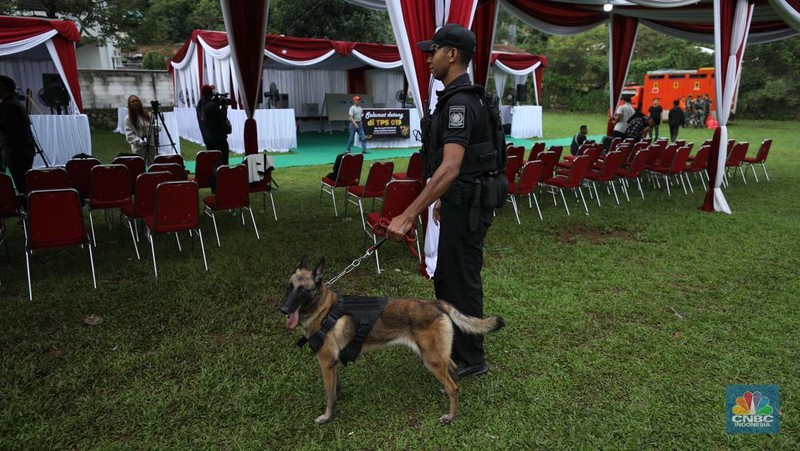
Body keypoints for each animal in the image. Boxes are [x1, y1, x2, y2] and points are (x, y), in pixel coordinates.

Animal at [282, 260, 506, 426]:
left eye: (303, 291)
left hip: (431, 360)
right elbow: (335, 389)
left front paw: (327, 416)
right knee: (453, 371)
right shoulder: (333, 364)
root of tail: (433, 303)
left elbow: (328, 395)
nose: (283, 310)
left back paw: (450, 416)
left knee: (454, 388)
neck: (324, 310)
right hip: (436, 356)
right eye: (289, 287)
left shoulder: (326, 363)